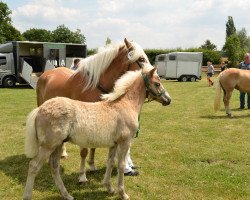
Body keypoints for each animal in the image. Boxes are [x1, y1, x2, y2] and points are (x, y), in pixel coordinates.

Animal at [22, 67, 171, 200]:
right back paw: (28, 196)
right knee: (34, 166)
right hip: (48, 146)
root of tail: (40, 109)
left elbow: (110, 162)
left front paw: (109, 188)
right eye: (157, 83)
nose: (168, 100)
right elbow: (121, 165)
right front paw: (122, 193)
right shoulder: (125, 142)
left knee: (54, 166)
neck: (125, 104)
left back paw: (67, 195)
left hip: (57, 145)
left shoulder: (114, 144)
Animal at [36, 38, 150, 182]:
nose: (155, 75)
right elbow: (84, 151)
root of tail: (47, 73)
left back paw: (62, 152)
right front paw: (82, 176)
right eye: (141, 59)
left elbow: (93, 146)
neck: (94, 86)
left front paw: (92, 166)